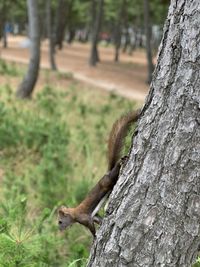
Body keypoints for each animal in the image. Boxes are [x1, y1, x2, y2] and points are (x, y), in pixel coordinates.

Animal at [57, 110, 140, 238]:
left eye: (60, 221)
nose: (60, 230)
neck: (74, 214)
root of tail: (107, 173)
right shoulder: (93, 216)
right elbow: (98, 219)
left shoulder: (84, 218)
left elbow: (91, 228)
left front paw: (95, 237)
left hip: (108, 181)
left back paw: (122, 161)